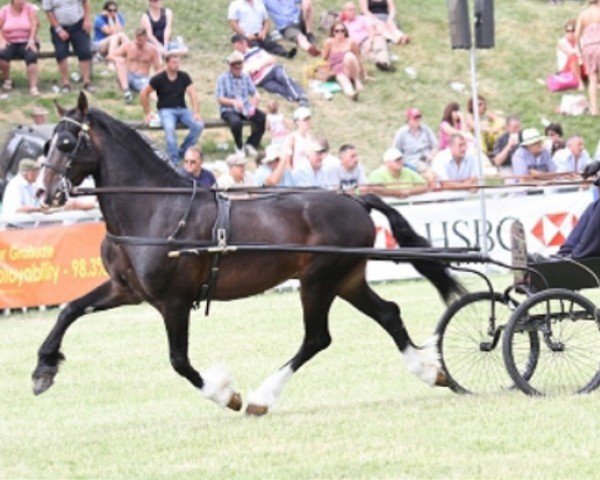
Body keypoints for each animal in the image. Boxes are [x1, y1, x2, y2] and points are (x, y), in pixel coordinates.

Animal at [32, 93, 464, 412]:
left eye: (67, 143)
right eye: (47, 143)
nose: (41, 193)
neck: (155, 208)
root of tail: (354, 199)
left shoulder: (173, 301)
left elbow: (179, 361)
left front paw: (226, 394)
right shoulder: (126, 290)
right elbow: (70, 309)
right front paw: (43, 369)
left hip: (318, 280)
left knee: (317, 338)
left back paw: (262, 397)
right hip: (347, 279)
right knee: (388, 314)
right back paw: (432, 371)